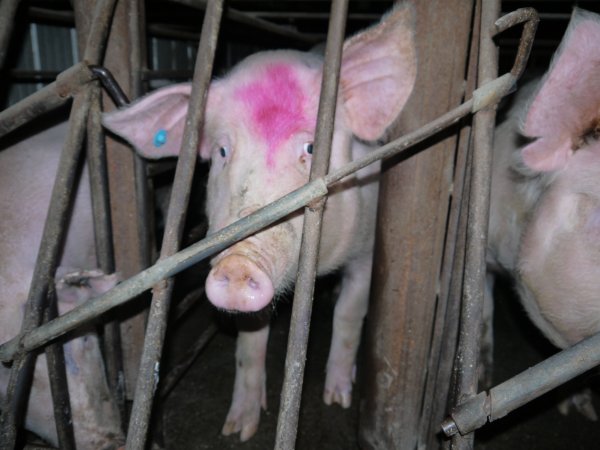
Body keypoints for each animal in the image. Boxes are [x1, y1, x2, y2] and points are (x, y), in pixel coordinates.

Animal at [104, 5, 418, 442]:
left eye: (310, 148)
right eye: (222, 151)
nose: (239, 263)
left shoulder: (368, 250)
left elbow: (349, 315)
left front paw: (337, 398)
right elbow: (250, 347)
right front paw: (238, 429)